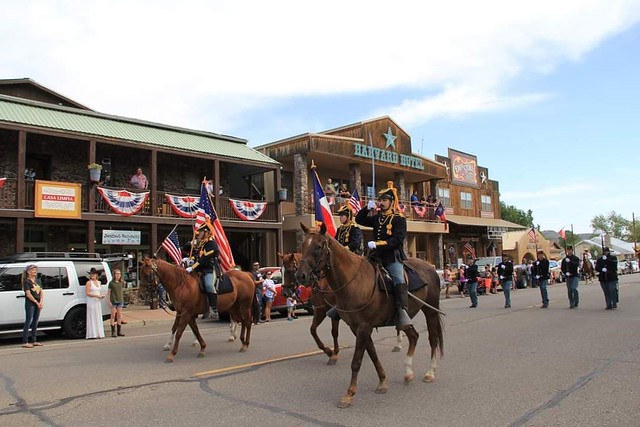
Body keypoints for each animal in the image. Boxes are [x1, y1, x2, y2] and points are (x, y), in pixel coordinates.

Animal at [296, 224, 444, 408]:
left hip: (430, 310)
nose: (301, 276)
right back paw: (408, 372)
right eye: (303, 245)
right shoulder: (356, 327)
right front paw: (382, 382)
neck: (354, 281)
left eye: (317, 247)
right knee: (414, 336)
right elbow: (372, 354)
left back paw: (430, 372)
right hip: (404, 318)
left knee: (433, 338)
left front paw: (349, 394)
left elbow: (356, 361)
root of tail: (431, 267)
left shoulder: (364, 327)